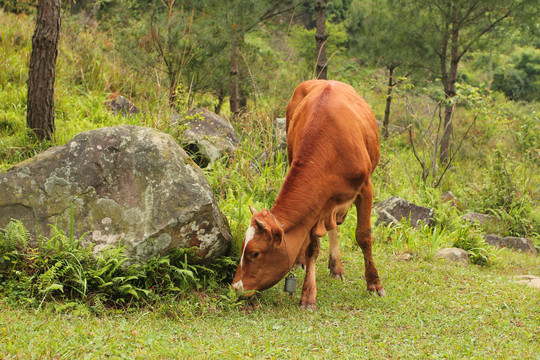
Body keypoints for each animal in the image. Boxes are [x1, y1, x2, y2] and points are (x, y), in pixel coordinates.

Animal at [231, 79, 384, 310]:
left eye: (254, 253)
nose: (236, 287)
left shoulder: (366, 188)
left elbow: (364, 236)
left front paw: (374, 283)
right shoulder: (317, 204)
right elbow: (312, 246)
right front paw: (308, 294)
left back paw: (337, 267)